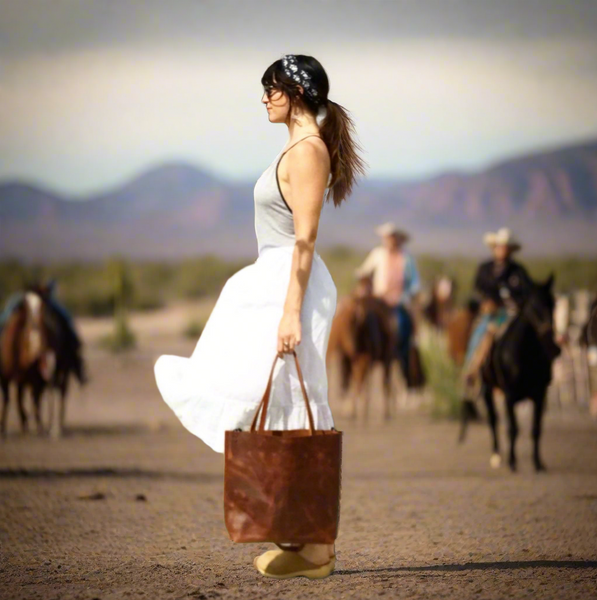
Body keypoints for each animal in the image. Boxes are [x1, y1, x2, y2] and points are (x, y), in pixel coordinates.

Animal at [0, 284, 84, 438]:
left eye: (45, 305)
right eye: (26, 305)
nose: (35, 326)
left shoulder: (44, 374)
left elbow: (40, 397)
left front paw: (46, 428)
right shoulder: (7, 377)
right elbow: (11, 399)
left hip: (58, 373)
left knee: (58, 392)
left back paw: (54, 425)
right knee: (23, 396)